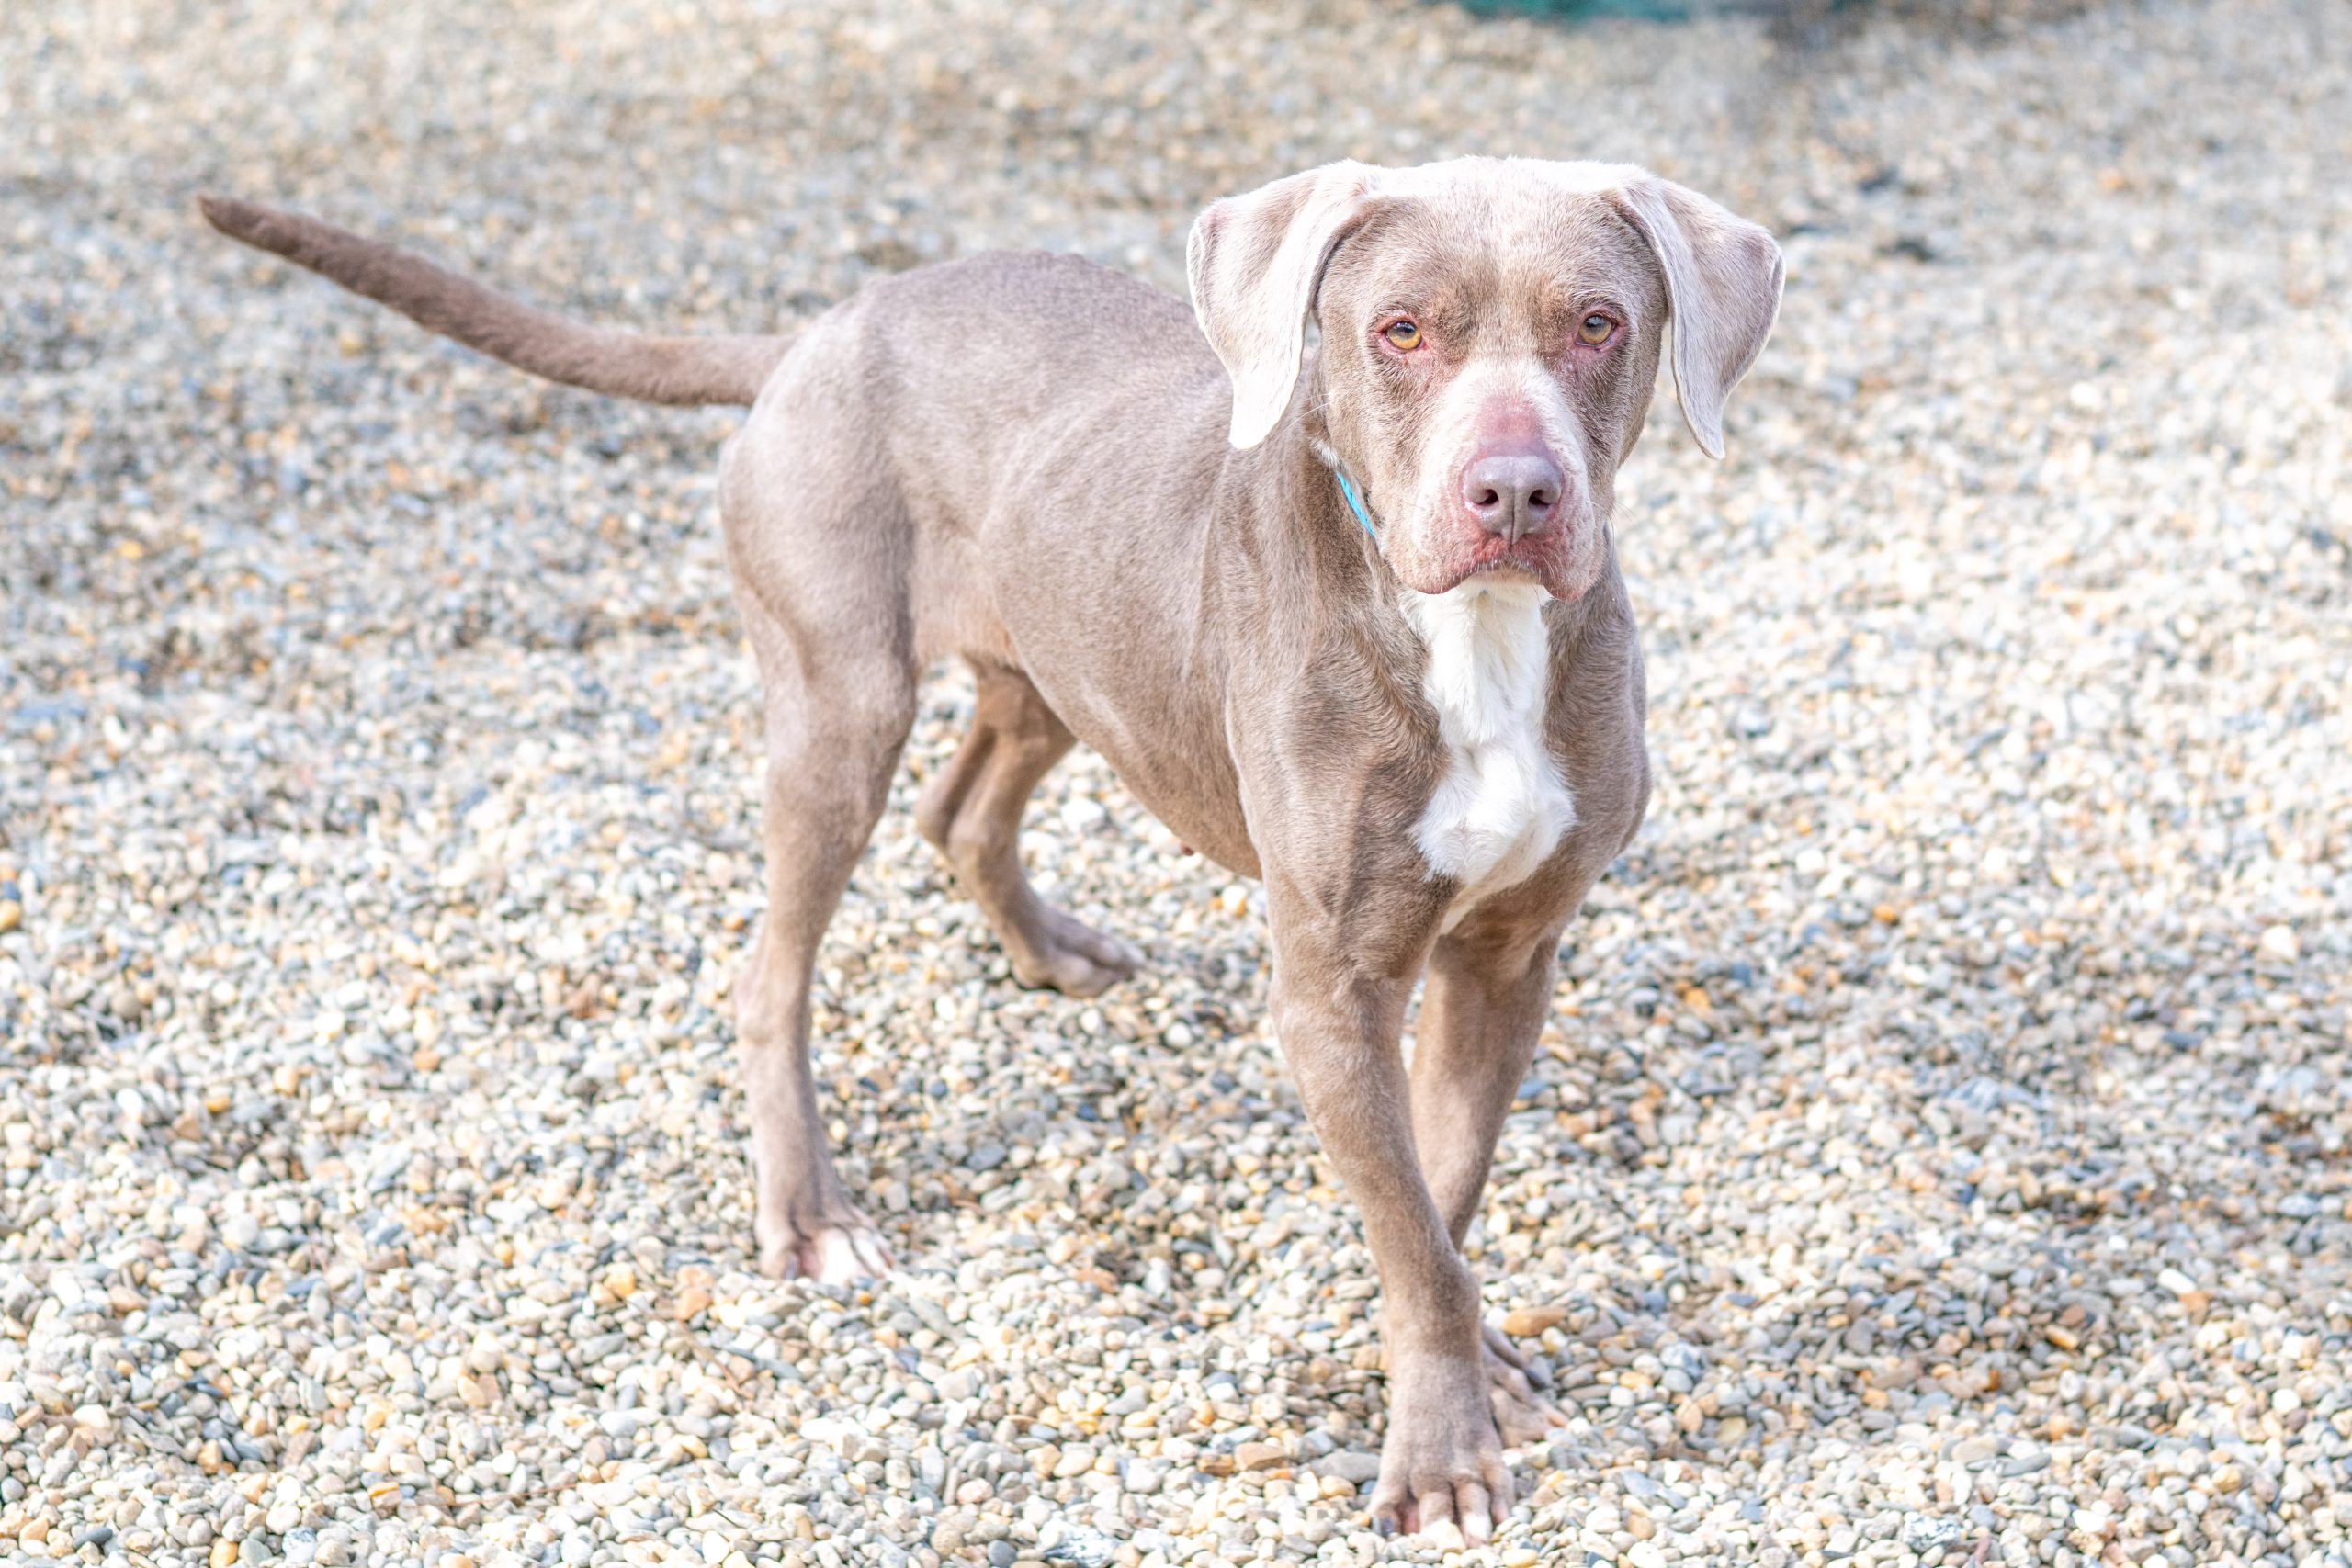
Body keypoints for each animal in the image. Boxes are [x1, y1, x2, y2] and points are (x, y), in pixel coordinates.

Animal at [201, 157, 1781, 1543]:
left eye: (1599, 324)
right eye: (1400, 330)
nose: (1514, 492)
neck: (1472, 636)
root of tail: (822, 327)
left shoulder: (1508, 957)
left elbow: (1435, 1201)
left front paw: (1457, 1374)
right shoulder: (1332, 990)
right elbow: (1412, 1226)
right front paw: (1443, 1455)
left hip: (1052, 665)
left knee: (964, 808)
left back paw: (1051, 944)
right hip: (840, 701)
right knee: (775, 962)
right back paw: (813, 1212)